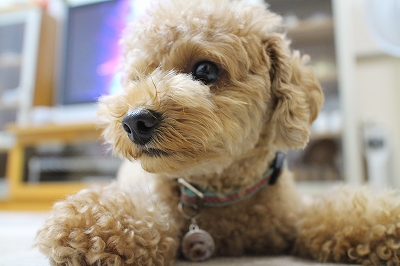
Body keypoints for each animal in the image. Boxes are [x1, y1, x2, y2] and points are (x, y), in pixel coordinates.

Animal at [33, 1, 400, 264]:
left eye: (206, 70)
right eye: (137, 78)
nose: (134, 121)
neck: (218, 193)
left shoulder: (297, 212)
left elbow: (339, 212)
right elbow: (143, 216)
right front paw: (85, 226)